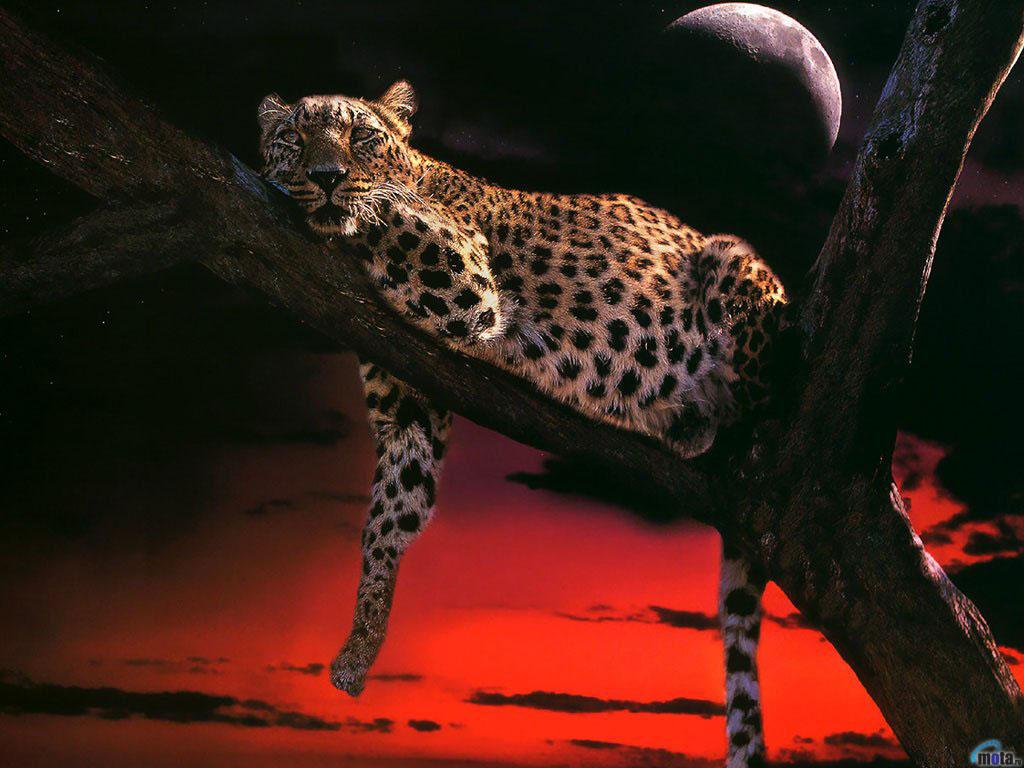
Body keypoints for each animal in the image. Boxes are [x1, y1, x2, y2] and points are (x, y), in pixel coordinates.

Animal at [259, 80, 784, 768]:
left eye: (363, 137)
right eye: (292, 138)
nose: (324, 176)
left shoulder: (464, 283)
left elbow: (384, 209)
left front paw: (353, 197)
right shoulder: (406, 405)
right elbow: (391, 515)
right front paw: (361, 643)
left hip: (732, 263)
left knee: (762, 392)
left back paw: (708, 423)